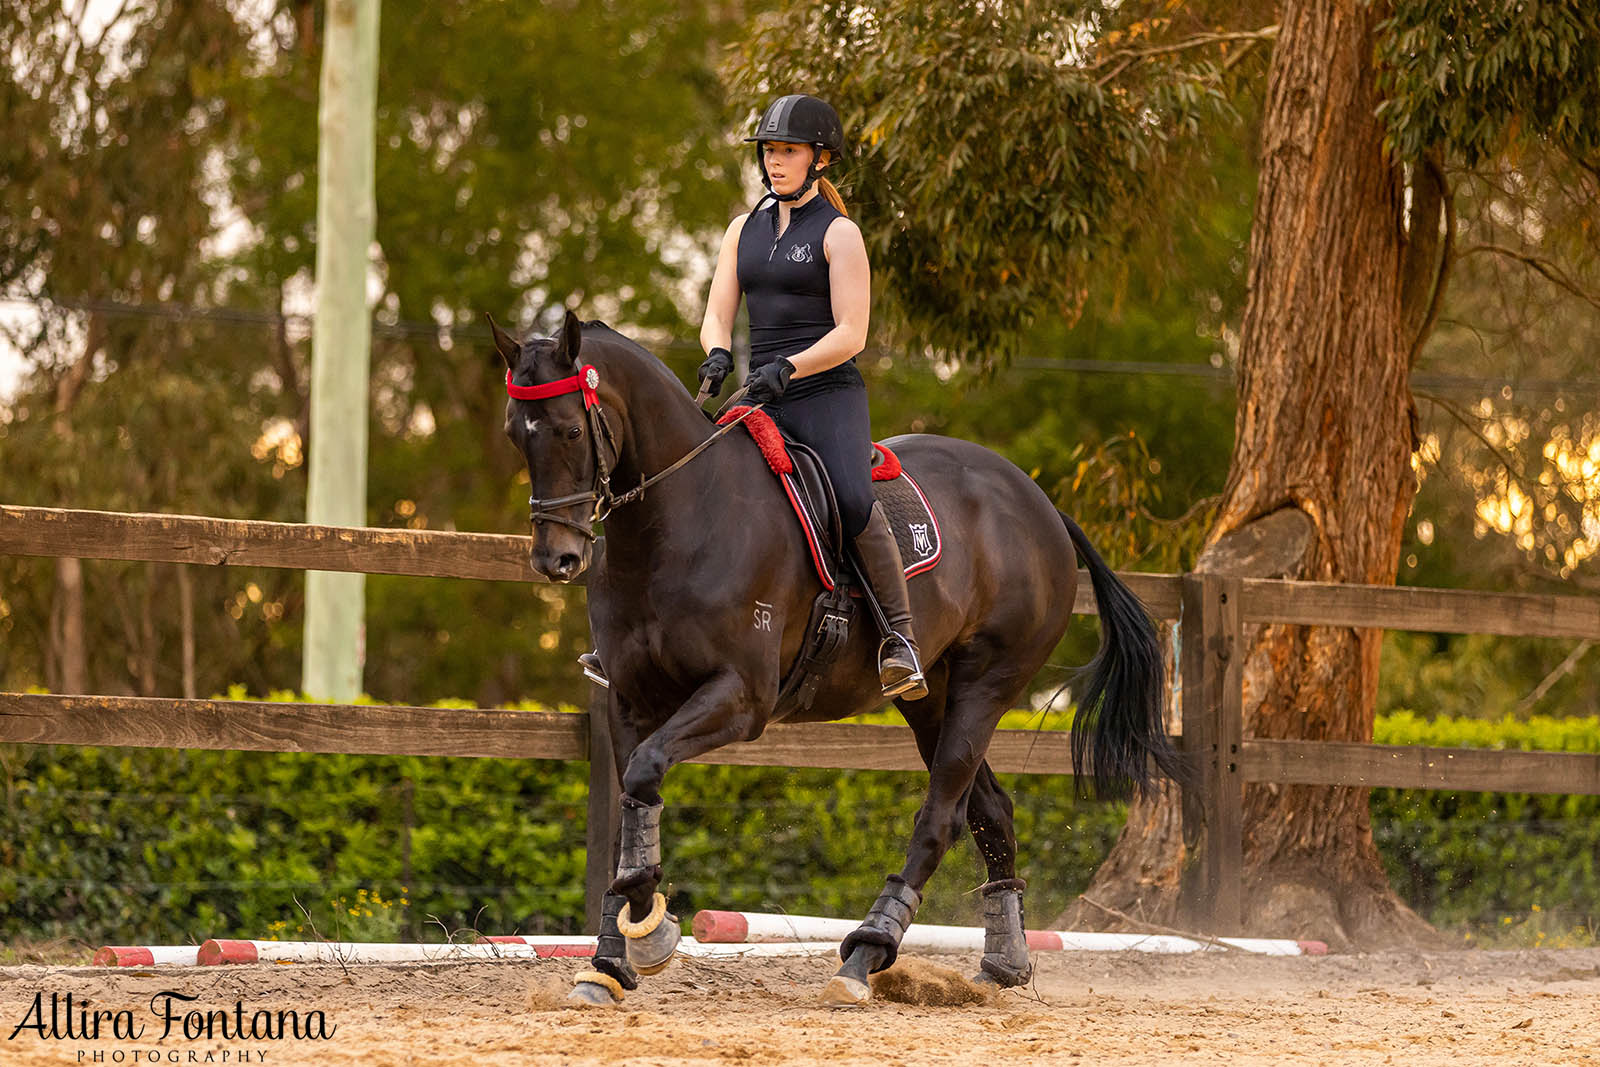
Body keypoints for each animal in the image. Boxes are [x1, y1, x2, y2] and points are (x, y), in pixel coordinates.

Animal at [492, 310, 1184, 1011]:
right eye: (515, 436)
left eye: (571, 430)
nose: (556, 560)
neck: (676, 520)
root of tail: (1039, 503)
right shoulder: (629, 702)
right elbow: (630, 807)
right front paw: (611, 961)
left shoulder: (741, 698)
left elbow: (644, 772)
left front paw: (650, 937)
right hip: (931, 698)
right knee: (990, 810)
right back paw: (1004, 963)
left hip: (988, 683)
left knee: (941, 816)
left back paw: (865, 955)